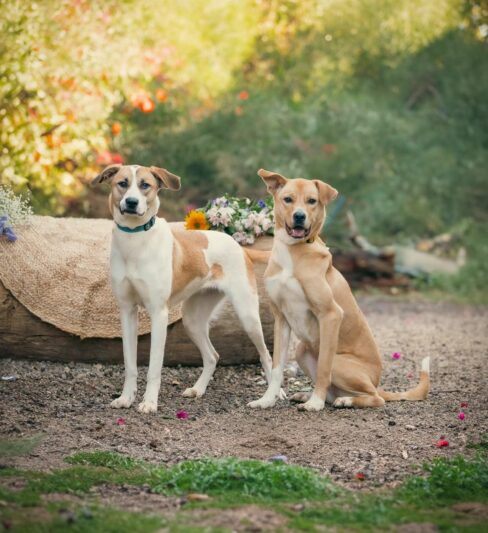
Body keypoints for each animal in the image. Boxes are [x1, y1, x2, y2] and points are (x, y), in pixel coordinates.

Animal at [93, 164, 282, 414]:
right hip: (192, 321)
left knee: (266, 357)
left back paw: (274, 395)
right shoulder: (126, 311)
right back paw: (198, 389)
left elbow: (154, 368)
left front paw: (149, 402)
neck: (135, 240)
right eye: (122, 183)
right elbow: (130, 364)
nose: (131, 202)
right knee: (212, 356)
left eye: (145, 185)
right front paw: (126, 398)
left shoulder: (158, 314)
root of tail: (240, 247)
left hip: (247, 315)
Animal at [250, 168, 428, 410]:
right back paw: (310, 395)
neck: (293, 251)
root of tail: (377, 381)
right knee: (334, 390)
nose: (299, 216)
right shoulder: (281, 319)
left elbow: (324, 369)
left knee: (375, 397)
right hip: (302, 350)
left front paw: (315, 404)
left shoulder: (331, 314)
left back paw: (344, 400)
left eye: (312, 201)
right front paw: (267, 400)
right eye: (287, 199)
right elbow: (276, 367)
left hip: (340, 362)